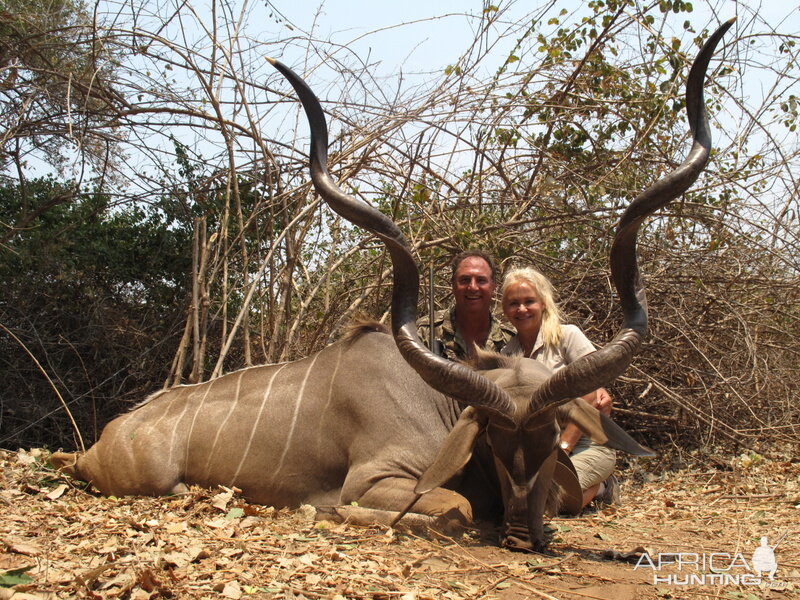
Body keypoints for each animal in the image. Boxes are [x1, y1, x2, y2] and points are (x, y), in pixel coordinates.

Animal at [53, 21, 736, 552]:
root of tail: (101, 442)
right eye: (492, 439)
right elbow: (451, 508)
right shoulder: (377, 478)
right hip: (152, 481)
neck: (435, 402)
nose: (522, 532)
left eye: (550, 438)